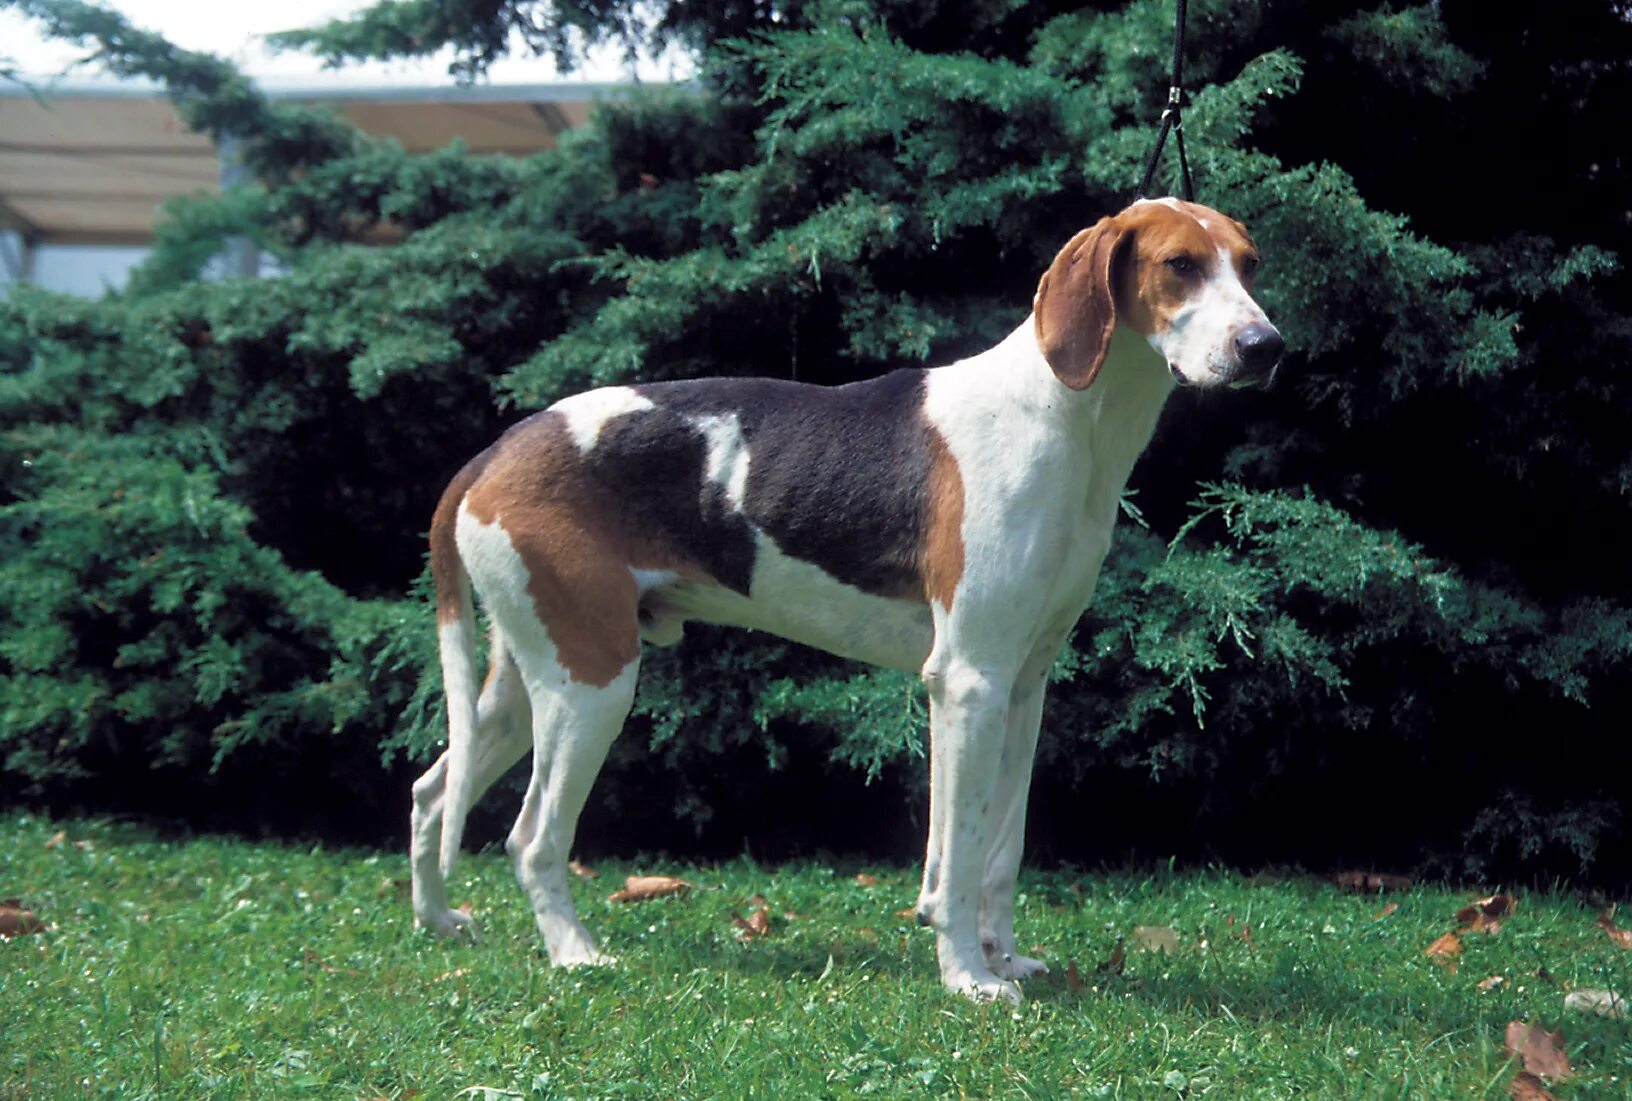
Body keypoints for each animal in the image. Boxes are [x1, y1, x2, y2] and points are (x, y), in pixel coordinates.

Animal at [404, 194, 1272, 1004]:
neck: (1066, 415)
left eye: (1249, 262)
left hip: (530, 684)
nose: (1266, 347)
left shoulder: (1023, 686)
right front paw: (968, 977)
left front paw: (1003, 957)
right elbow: (958, 856)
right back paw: (576, 954)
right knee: (531, 836)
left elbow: (1002, 847)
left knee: (430, 794)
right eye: (1180, 265)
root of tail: (495, 451)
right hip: (592, 685)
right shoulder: (968, 682)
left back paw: (439, 921)